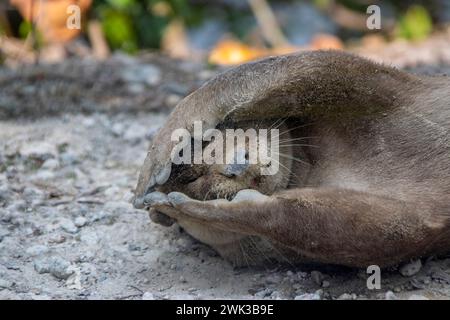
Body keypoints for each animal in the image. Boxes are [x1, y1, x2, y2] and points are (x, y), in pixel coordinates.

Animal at [134, 51, 450, 268]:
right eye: (194, 177)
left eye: (209, 138)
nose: (237, 164)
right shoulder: (415, 219)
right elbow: (347, 229)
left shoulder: (391, 87)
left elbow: (298, 67)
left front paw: (163, 148)